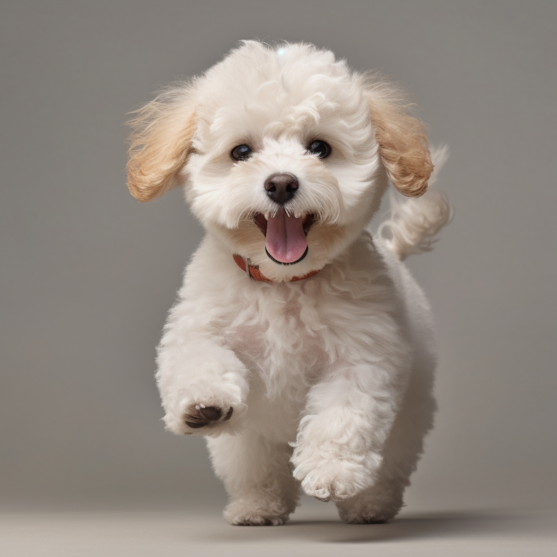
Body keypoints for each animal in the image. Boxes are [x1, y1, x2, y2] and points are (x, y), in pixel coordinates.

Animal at [127, 41, 452, 524]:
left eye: (319, 147)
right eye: (241, 152)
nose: (281, 183)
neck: (284, 284)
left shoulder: (362, 356)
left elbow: (343, 414)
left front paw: (331, 471)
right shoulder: (200, 324)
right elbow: (198, 356)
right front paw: (203, 404)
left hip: (409, 414)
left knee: (391, 460)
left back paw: (369, 504)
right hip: (249, 440)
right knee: (255, 463)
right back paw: (257, 504)